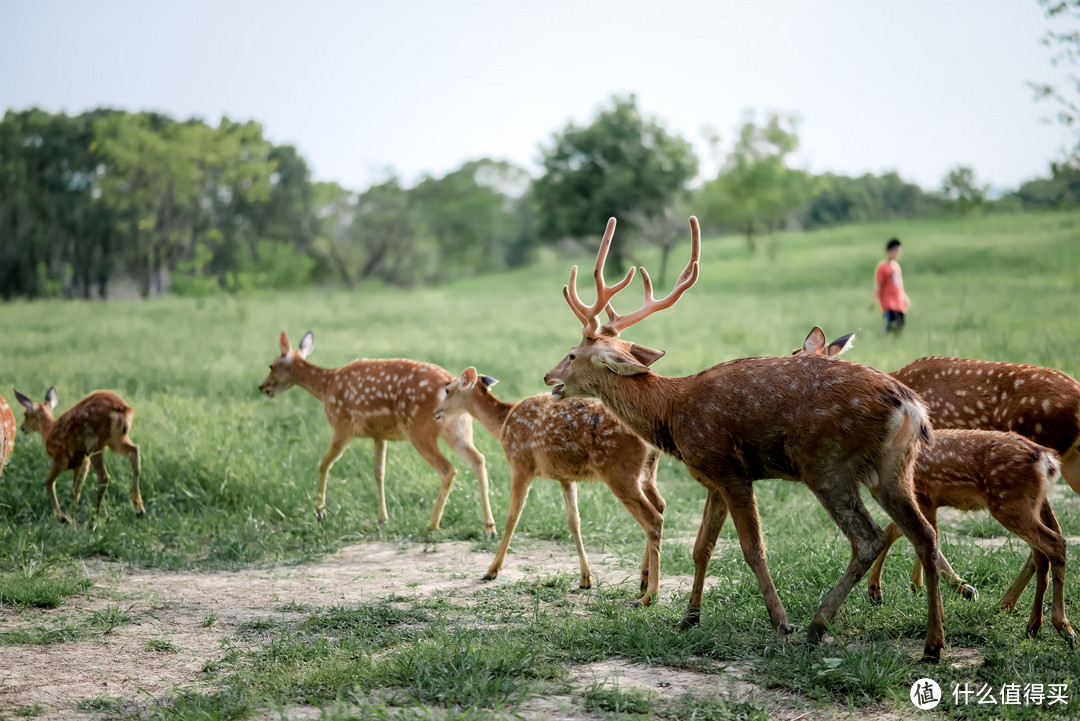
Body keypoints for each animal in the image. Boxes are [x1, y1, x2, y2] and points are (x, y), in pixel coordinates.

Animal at [13, 386, 143, 520]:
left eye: (26, 414)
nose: (22, 428)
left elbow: (49, 483)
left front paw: (63, 517)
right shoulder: (81, 462)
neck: (49, 431)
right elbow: (74, 492)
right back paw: (139, 509)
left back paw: (93, 520)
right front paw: (72, 519)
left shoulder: (60, 458)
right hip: (116, 440)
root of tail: (123, 408)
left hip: (94, 441)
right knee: (134, 451)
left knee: (103, 477)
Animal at [259, 330, 494, 533]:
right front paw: (382, 519)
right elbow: (379, 472)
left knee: (448, 470)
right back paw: (489, 527)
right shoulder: (379, 435)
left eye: (271, 366)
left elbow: (325, 463)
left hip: (419, 430)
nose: (262, 387)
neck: (326, 387)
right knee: (478, 459)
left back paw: (432, 525)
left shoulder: (342, 425)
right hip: (459, 431)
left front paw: (320, 513)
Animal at [432, 366, 665, 604]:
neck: (504, 422)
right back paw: (643, 579)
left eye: (448, 390)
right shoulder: (566, 477)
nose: (436, 412)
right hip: (647, 473)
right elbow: (574, 521)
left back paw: (650, 595)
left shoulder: (521, 463)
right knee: (660, 504)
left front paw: (491, 570)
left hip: (618, 470)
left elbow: (512, 518)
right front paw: (585, 578)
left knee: (653, 518)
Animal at [540, 216, 946, 660]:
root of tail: (911, 406)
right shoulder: (713, 479)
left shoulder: (729, 468)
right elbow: (701, 546)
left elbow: (752, 549)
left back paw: (817, 625)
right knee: (923, 533)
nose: (548, 376)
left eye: (573, 354)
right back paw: (932, 643)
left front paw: (780, 623)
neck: (672, 413)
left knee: (868, 537)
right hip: (892, 467)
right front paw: (689, 619)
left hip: (826, 464)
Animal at [790, 330, 1075, 643]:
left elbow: (905, 532)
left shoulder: (919, 486)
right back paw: (1021, 615)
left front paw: (944, 589)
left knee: (1050, 540)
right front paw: (922, 587)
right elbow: (913, 532)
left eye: (795, 357)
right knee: (1048, 541)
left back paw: (1044, 621)